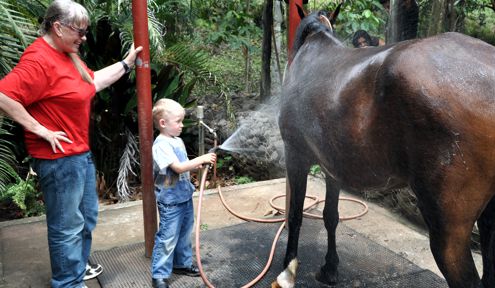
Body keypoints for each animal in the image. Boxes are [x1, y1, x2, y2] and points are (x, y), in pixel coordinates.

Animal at [278, 5, 495, 288]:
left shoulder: (295, 154)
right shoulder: (331, 165)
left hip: (449, 230)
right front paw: (330, 268)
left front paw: (288, 266)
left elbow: (294, 215)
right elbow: (330, 216)